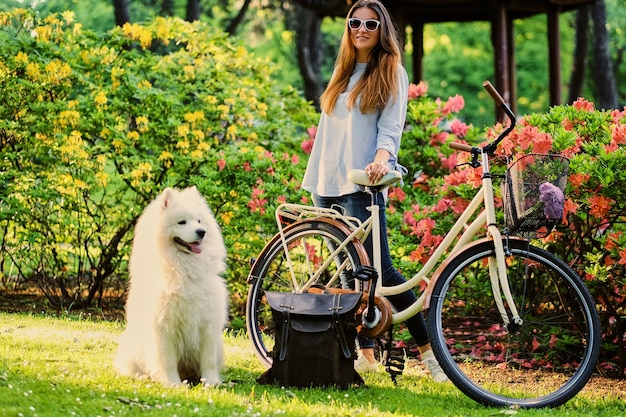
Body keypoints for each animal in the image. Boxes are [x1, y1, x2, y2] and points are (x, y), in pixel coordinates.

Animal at [113, 187, 228, 386]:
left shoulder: (208, 325)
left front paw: (211, 382)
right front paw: (173, 383)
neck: (185, 271)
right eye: (182, 222)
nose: (201, 232)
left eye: (199, 221)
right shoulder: (164, 327)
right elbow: (167, 361)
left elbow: (208, 359)